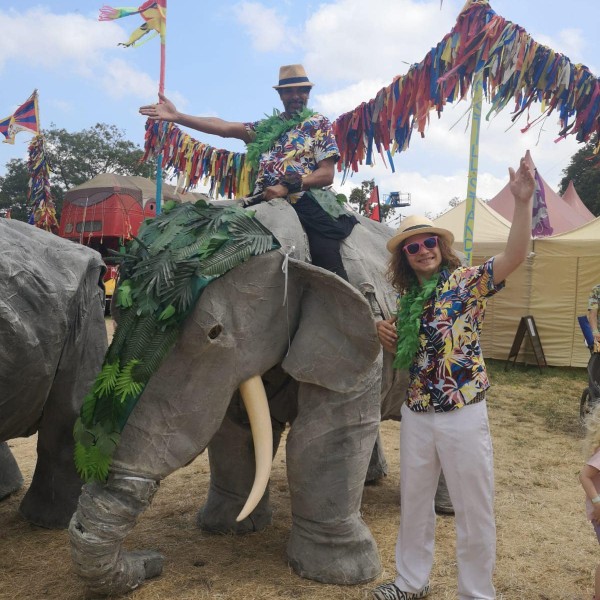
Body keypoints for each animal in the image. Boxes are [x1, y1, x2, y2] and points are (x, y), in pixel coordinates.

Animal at [68, 200, 448, 596]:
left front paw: (340, 572)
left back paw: (443, 510)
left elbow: (323, 436)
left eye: (214, 332)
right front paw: (230, 527)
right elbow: (235, 431)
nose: (153, 561)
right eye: (116, 313)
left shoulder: (362, 339)